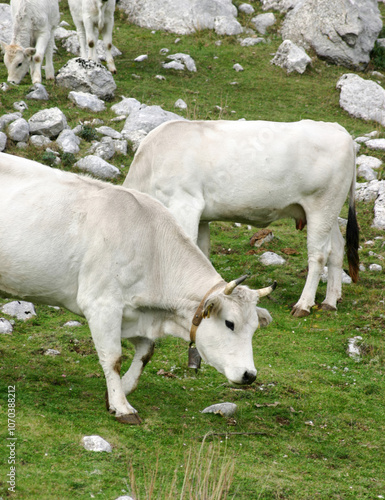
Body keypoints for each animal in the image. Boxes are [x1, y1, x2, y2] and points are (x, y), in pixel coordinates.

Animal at [0, 151, 276, 422]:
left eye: (254, 328)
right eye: (230, 323)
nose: (249, 375)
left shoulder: (133, 314)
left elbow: (146, 351)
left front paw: (117, 393)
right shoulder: (102, 305)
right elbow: (113, 358)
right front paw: (122, 407)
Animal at [124, 119, 360, 318]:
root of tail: (338, 129)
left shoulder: (185, 204)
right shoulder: (202, 218)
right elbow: (201, 253)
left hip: (321, 206)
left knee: (319, 254)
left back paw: (304, 305)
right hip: (329, 212)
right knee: (337, 248)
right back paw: (330, 301)